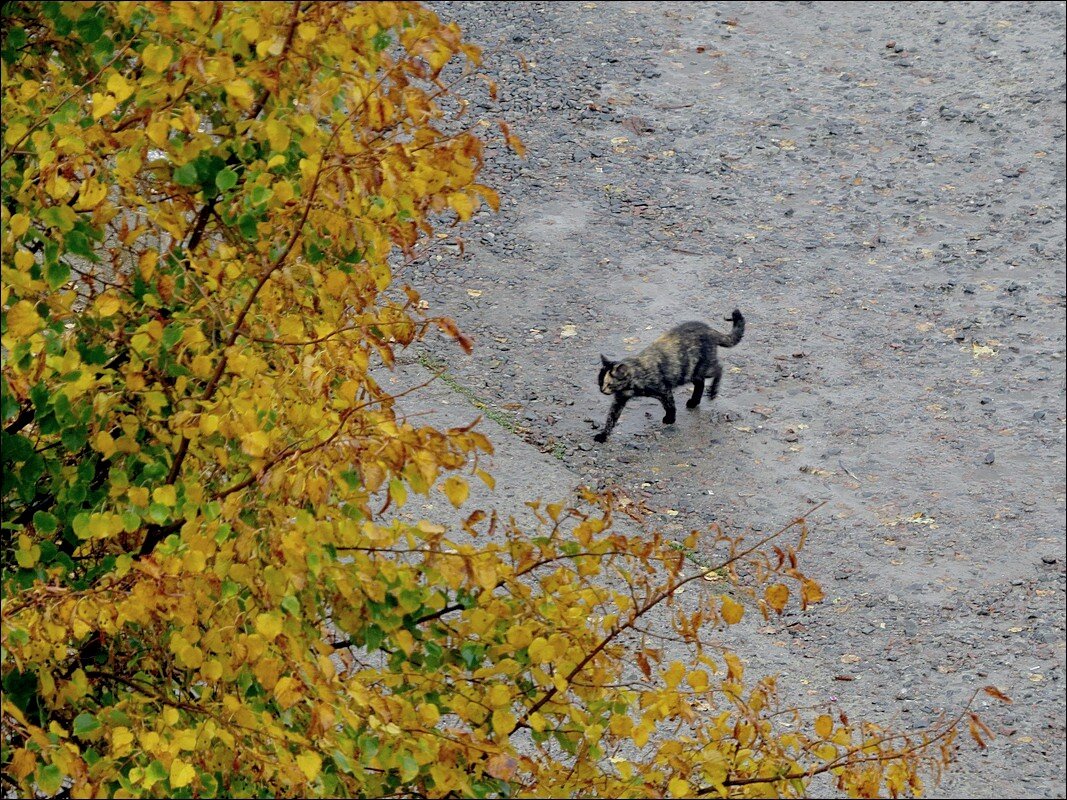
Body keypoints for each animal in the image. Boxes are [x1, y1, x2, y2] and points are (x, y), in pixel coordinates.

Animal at [597, 309, 746, 445]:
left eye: (609, 384)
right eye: (599, 382)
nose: (602, 391)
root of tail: (709, 329)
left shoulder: (664, 390)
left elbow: (670, 406)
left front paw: (670, 420)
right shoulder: (619, 400)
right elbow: (611, 418)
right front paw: (603, 435)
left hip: (703, 368)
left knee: (719, 369)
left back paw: (713, 393)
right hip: (692, 372)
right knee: (700, 383)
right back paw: (694, 402)